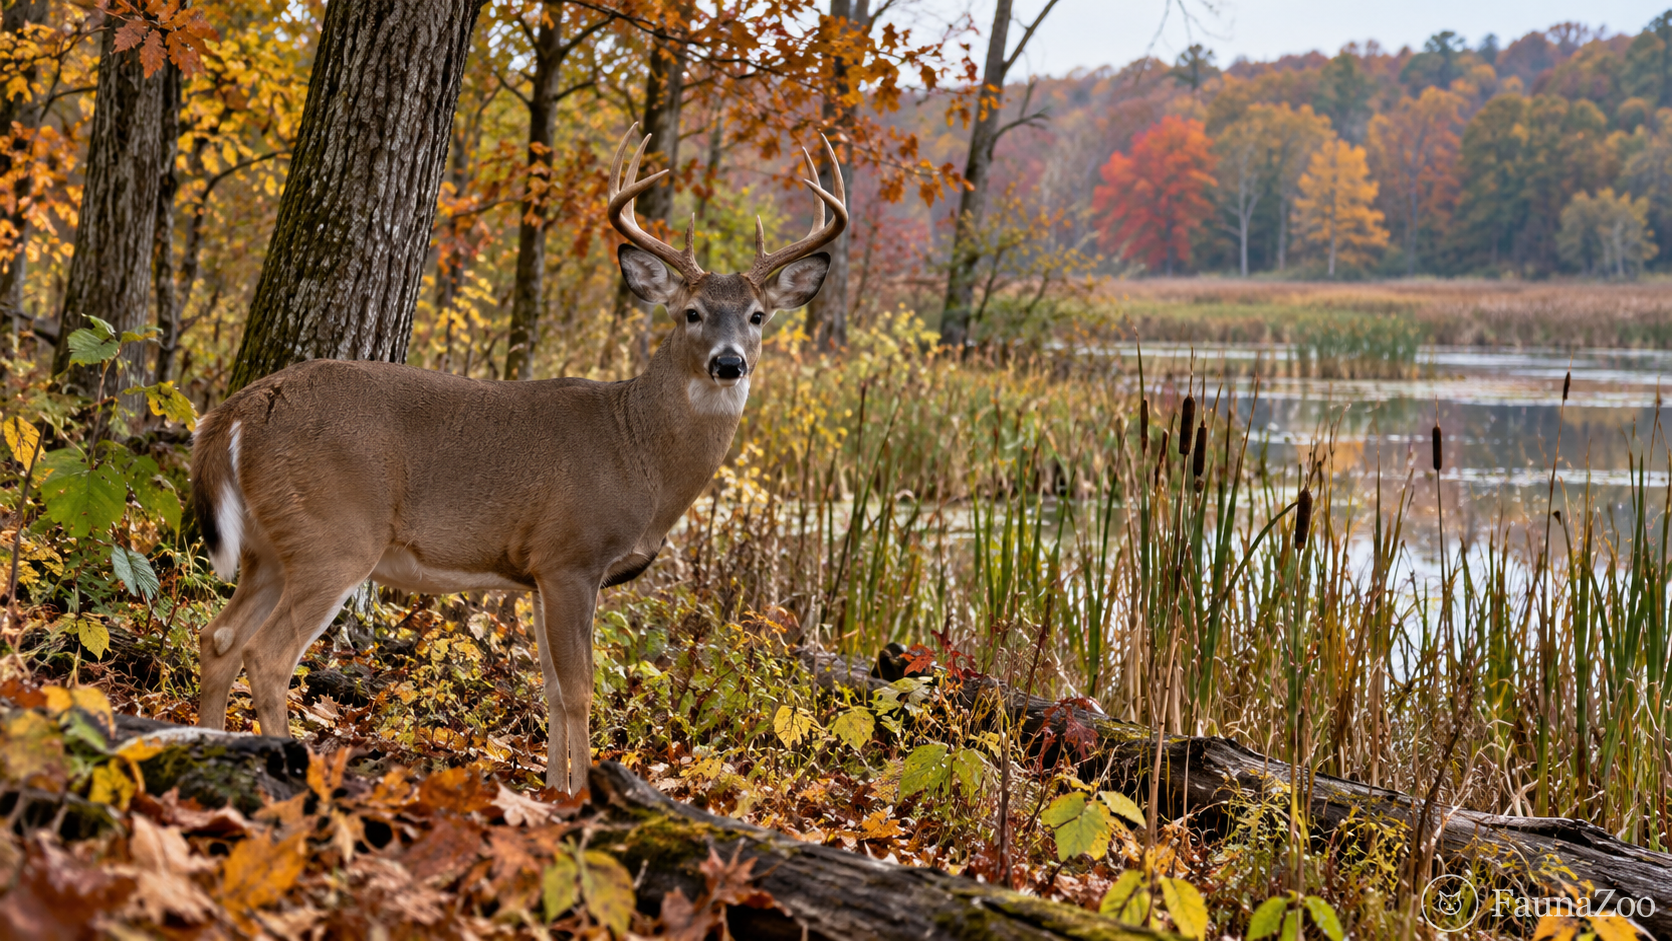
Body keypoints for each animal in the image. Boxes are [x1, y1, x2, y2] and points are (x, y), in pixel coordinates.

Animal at [188, 125, 846, 794]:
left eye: (758, 316)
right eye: (692, 313)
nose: (729, 362)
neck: (639, 453)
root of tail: (239, 408)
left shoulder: (536, 574)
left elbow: (551, 689)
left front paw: (554, 789)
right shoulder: (571, 557)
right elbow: (580, 690)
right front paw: (580, 794)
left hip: (271, 546)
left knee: (217, 638)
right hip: (334, 534)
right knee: (266, 656)